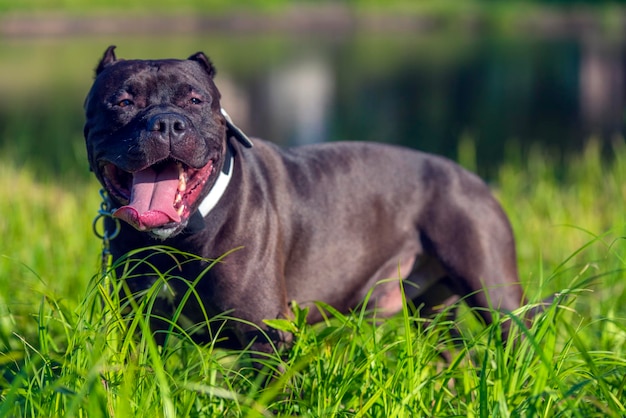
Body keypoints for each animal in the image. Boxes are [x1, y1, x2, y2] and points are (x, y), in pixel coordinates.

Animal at [83, 45, 520, 352]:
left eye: (195, 100)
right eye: (123, 102)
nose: (168, 123)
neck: (179, 236)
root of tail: (473, 178)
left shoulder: (265, 336)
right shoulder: (138, 326)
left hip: (496, 299)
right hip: (433, 315)